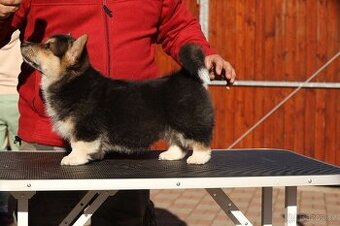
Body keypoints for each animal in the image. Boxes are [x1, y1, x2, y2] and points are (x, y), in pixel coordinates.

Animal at [19, 33, 214, 165]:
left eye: (47, 46)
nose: (23, 43)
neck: (70, 80)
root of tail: (187, 76)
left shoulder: (85, 127)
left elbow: (78, 144)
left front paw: (72, 158)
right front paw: (94, 155)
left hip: (188, 122)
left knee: (201, 140)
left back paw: (199, 158)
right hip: (173, 125)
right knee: (179, 143)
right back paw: (170, 155)